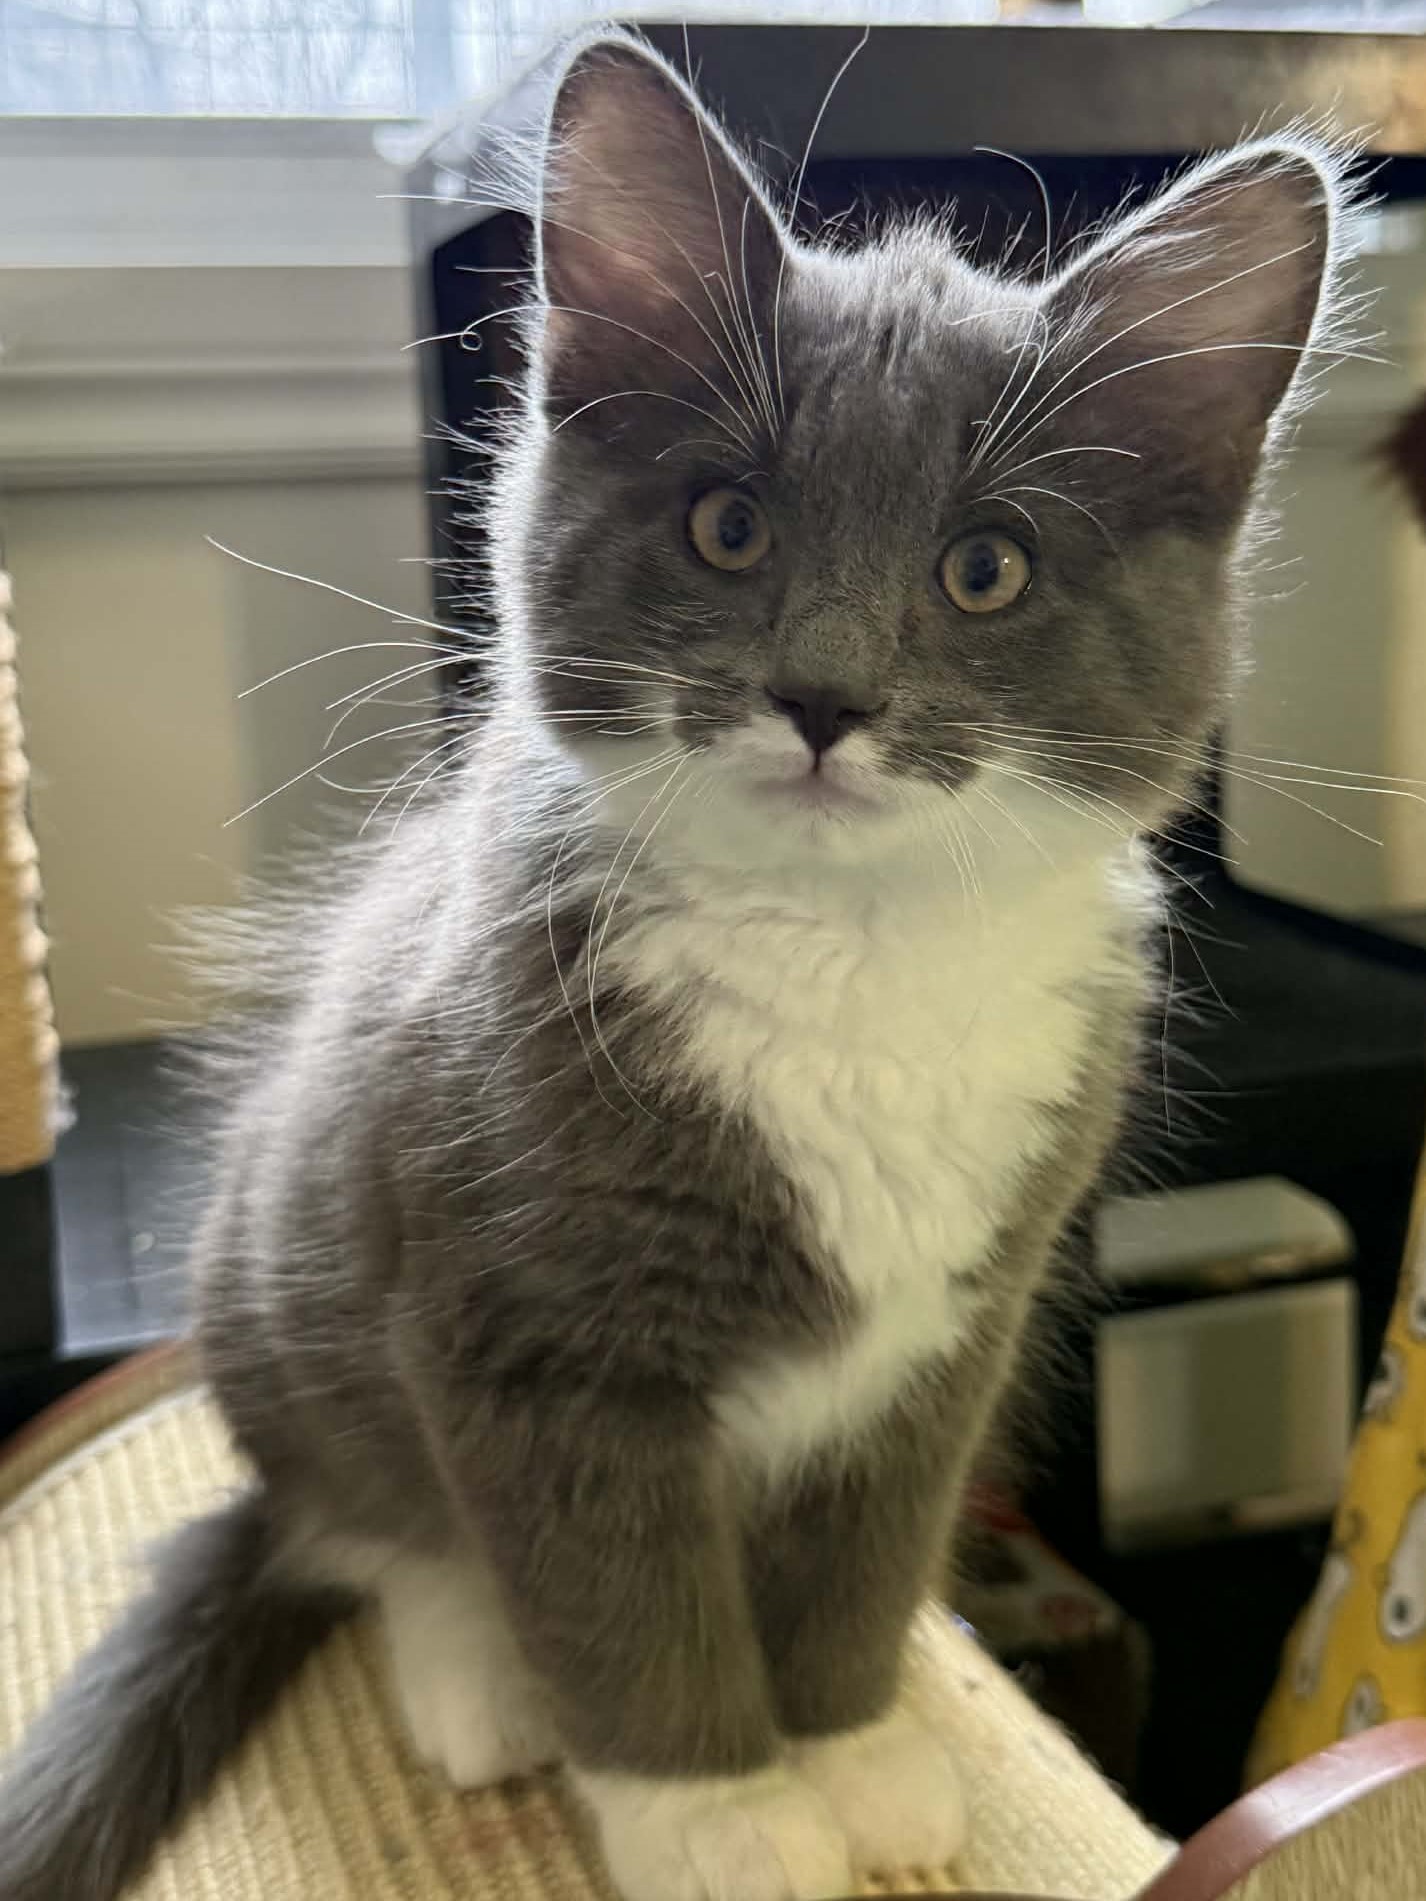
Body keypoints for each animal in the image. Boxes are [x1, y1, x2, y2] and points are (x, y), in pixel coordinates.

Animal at [0, 29, 1348, 1901]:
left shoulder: (956, 1326)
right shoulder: (526, 1329)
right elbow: (623, 1594)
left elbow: (863, 1560)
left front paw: (851, 1748)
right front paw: (717, 1809)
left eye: (984, 567)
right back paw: (476, 1673)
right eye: (726, 528)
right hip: (291, 1287)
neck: (850, 954)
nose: (824, 694)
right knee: (374, 1524)